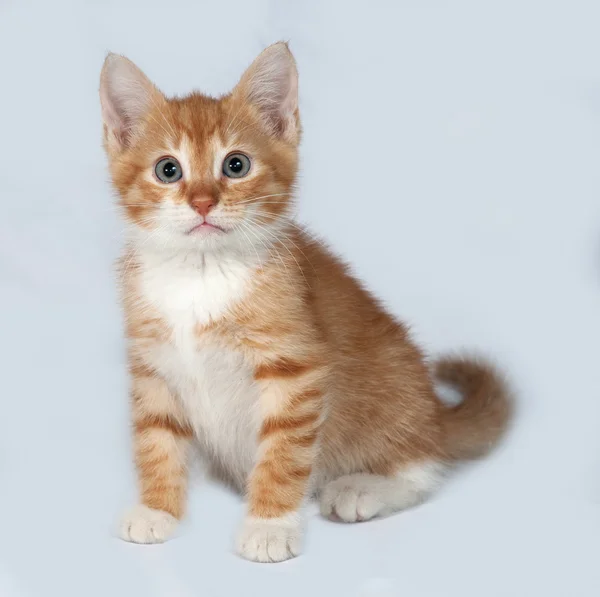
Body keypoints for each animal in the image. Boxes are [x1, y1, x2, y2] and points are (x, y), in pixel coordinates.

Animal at [98, 43, 510, 564]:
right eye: (167, 170)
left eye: (235, 165)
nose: (203, 202)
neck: (202, 274)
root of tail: (436, 412)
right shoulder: (153, 366)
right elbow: (156, 440)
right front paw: (157, 509)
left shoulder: (296, 368)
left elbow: (283, 452)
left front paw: (269, 526)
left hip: (392, 390)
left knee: (424, 465)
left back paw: (362, 487)